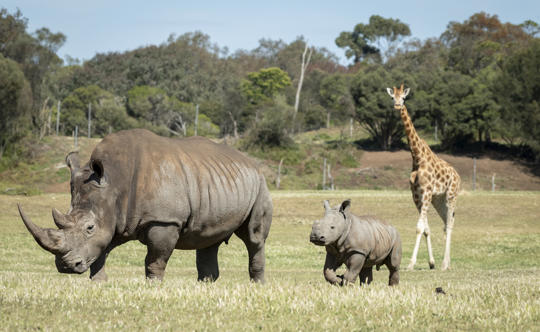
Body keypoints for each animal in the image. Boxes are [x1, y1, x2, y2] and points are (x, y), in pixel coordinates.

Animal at [384, 83, 460, 270]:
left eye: (403, 97)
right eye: (392, 97)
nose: (397, 106)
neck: (417, 157)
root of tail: (458, 176)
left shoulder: (426, 192)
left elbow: (419, 227)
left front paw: (411, 264)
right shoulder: (417, 195)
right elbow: (426, 228)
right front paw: (431, 262)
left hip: (451, 195)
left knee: (449, 224)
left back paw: (445, 264)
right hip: (439, 200)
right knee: (446, 223)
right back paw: (445, 263)